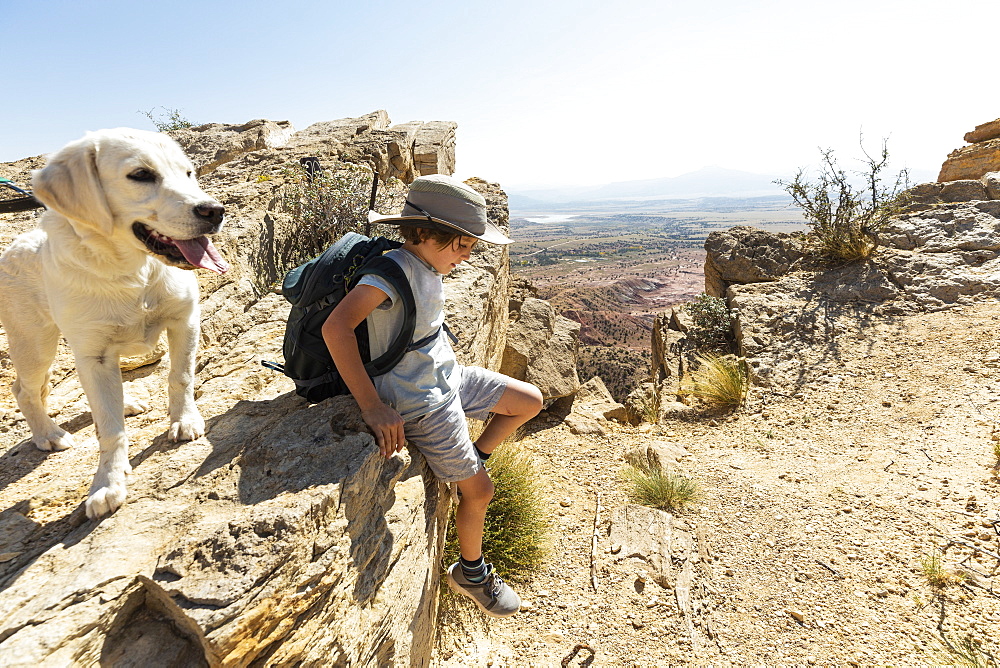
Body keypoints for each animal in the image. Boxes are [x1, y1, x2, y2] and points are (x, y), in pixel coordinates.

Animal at [0, 129, 229, 516]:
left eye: (188, 173)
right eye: (140, 175)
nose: (214, 211)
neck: (132, 270)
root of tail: (15, 242)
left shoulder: (184, 319)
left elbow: (179, 377)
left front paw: (184, 420)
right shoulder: (94, 355)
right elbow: (109, 428)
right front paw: (107, 483)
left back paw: (126, 402)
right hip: (35, 344)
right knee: (25, 390)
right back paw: (48, 434)